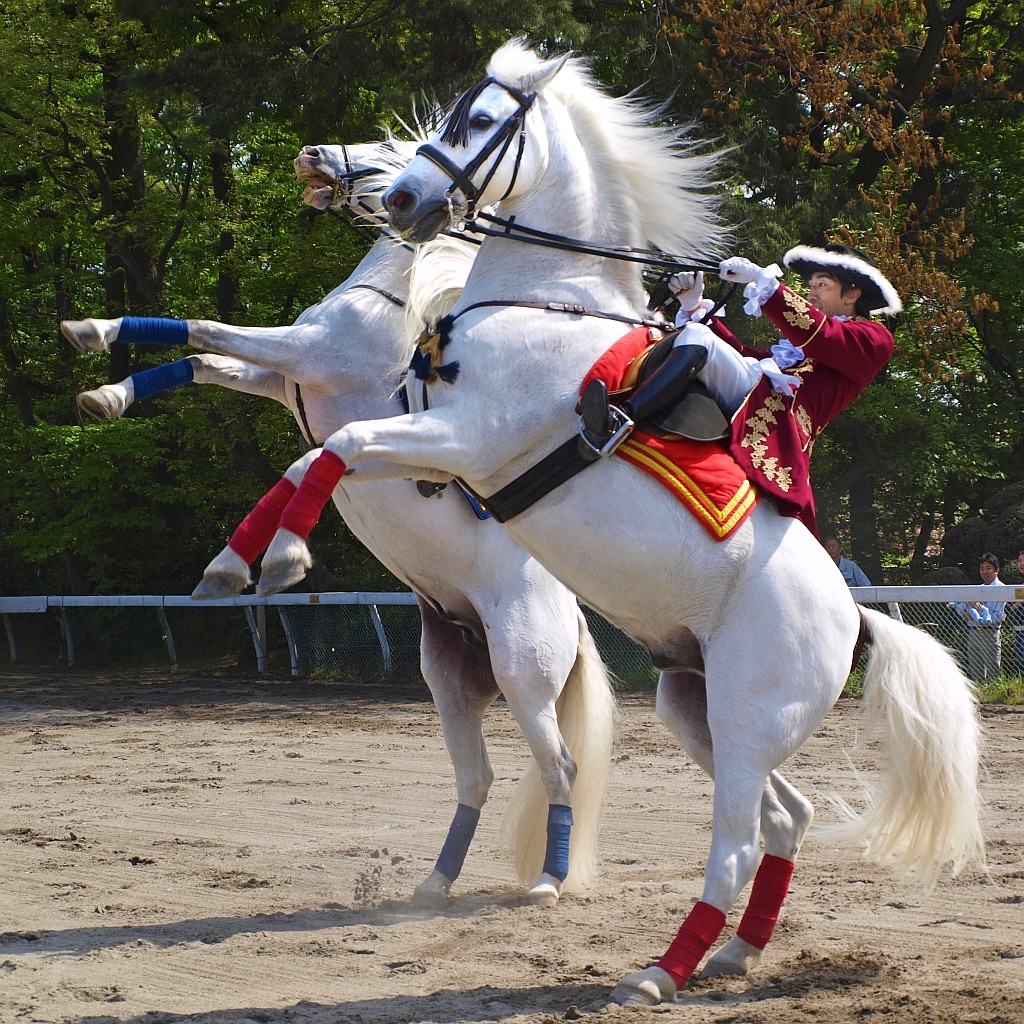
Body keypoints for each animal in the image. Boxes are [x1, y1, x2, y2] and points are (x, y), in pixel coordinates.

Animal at [66, 140, 622, 909]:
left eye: (389, 147)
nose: (312, 155)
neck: (387, 305)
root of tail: (572, 618)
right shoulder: (286, 379)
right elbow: (203, 358)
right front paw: (106, 390)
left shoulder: (304, 358)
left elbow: (212, 339)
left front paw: (273, 560)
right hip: (450, 682)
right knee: (476, 777)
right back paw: (433, 883)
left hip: (524, 674)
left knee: (559, 766)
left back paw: (546, 881)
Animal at [253, 44, 983, 1003]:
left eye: (477, 122)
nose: (408, 202)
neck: (547, 304)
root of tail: (856, 619)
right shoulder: (430, 443)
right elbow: (318, 456)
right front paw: (247, 558)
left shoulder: (462, 438)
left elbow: (330, 448)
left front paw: (275, 556)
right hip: (694, 708)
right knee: (786, 818)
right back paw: (737, 953)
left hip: (746, 719)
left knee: (735, 842)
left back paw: (662, 970)